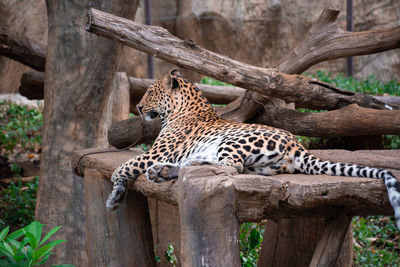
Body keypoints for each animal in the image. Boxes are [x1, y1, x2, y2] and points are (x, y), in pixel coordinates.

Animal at [106, 69, 400, 230]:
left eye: (151, 92)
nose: (139, 108)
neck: (182, 108)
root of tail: (297, 145)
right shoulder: (156, 153)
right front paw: (116, 196)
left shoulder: (157, 152)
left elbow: (123, 166)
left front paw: (113, 195)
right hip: (257, 163)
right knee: (231, 168)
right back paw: (163, 172)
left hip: (232, 140)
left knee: (229, 167)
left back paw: (178, 168)